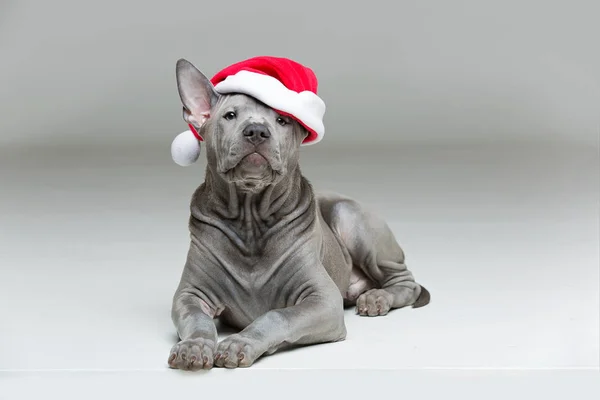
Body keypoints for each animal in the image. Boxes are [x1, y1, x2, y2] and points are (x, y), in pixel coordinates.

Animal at [168, 57, 432, 370]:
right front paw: (194, 346)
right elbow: (197, 319)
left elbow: (276, 316)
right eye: (230, 115)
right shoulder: (190, 295)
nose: (256, 131)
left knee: (406, 282)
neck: (250, 218)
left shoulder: (322, 300)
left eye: (282, 120)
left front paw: (240, 343)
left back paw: (378, 297)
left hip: (350, 217)